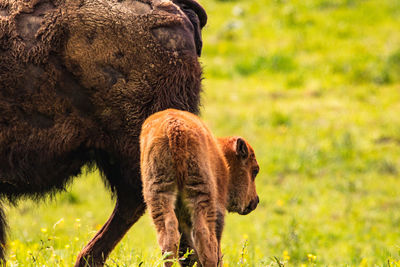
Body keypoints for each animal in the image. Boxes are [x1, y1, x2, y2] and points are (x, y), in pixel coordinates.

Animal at [140, 109, 260, 267]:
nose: (256, 201)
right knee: (204, 236)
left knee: (168, 236)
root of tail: (174, 129)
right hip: (201, 193)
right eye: (255, 170)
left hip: (158, 191)